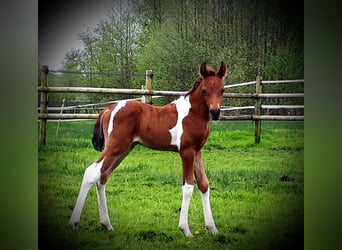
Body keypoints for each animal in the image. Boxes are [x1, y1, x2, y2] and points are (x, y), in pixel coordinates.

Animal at [69, 61, 227, 237]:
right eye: (204, 90)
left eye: (222, 89)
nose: (215, 112)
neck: (192, 114)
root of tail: (108, 109)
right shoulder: (186, 152)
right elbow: (188, 187)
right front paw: (186, 230)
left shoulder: (197, 151)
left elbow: (204, 184)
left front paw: (213, 229)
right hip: (115, 147)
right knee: (92, 172)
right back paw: (74, 224)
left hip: (124, 150)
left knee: (103, 175)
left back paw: (107, 224)